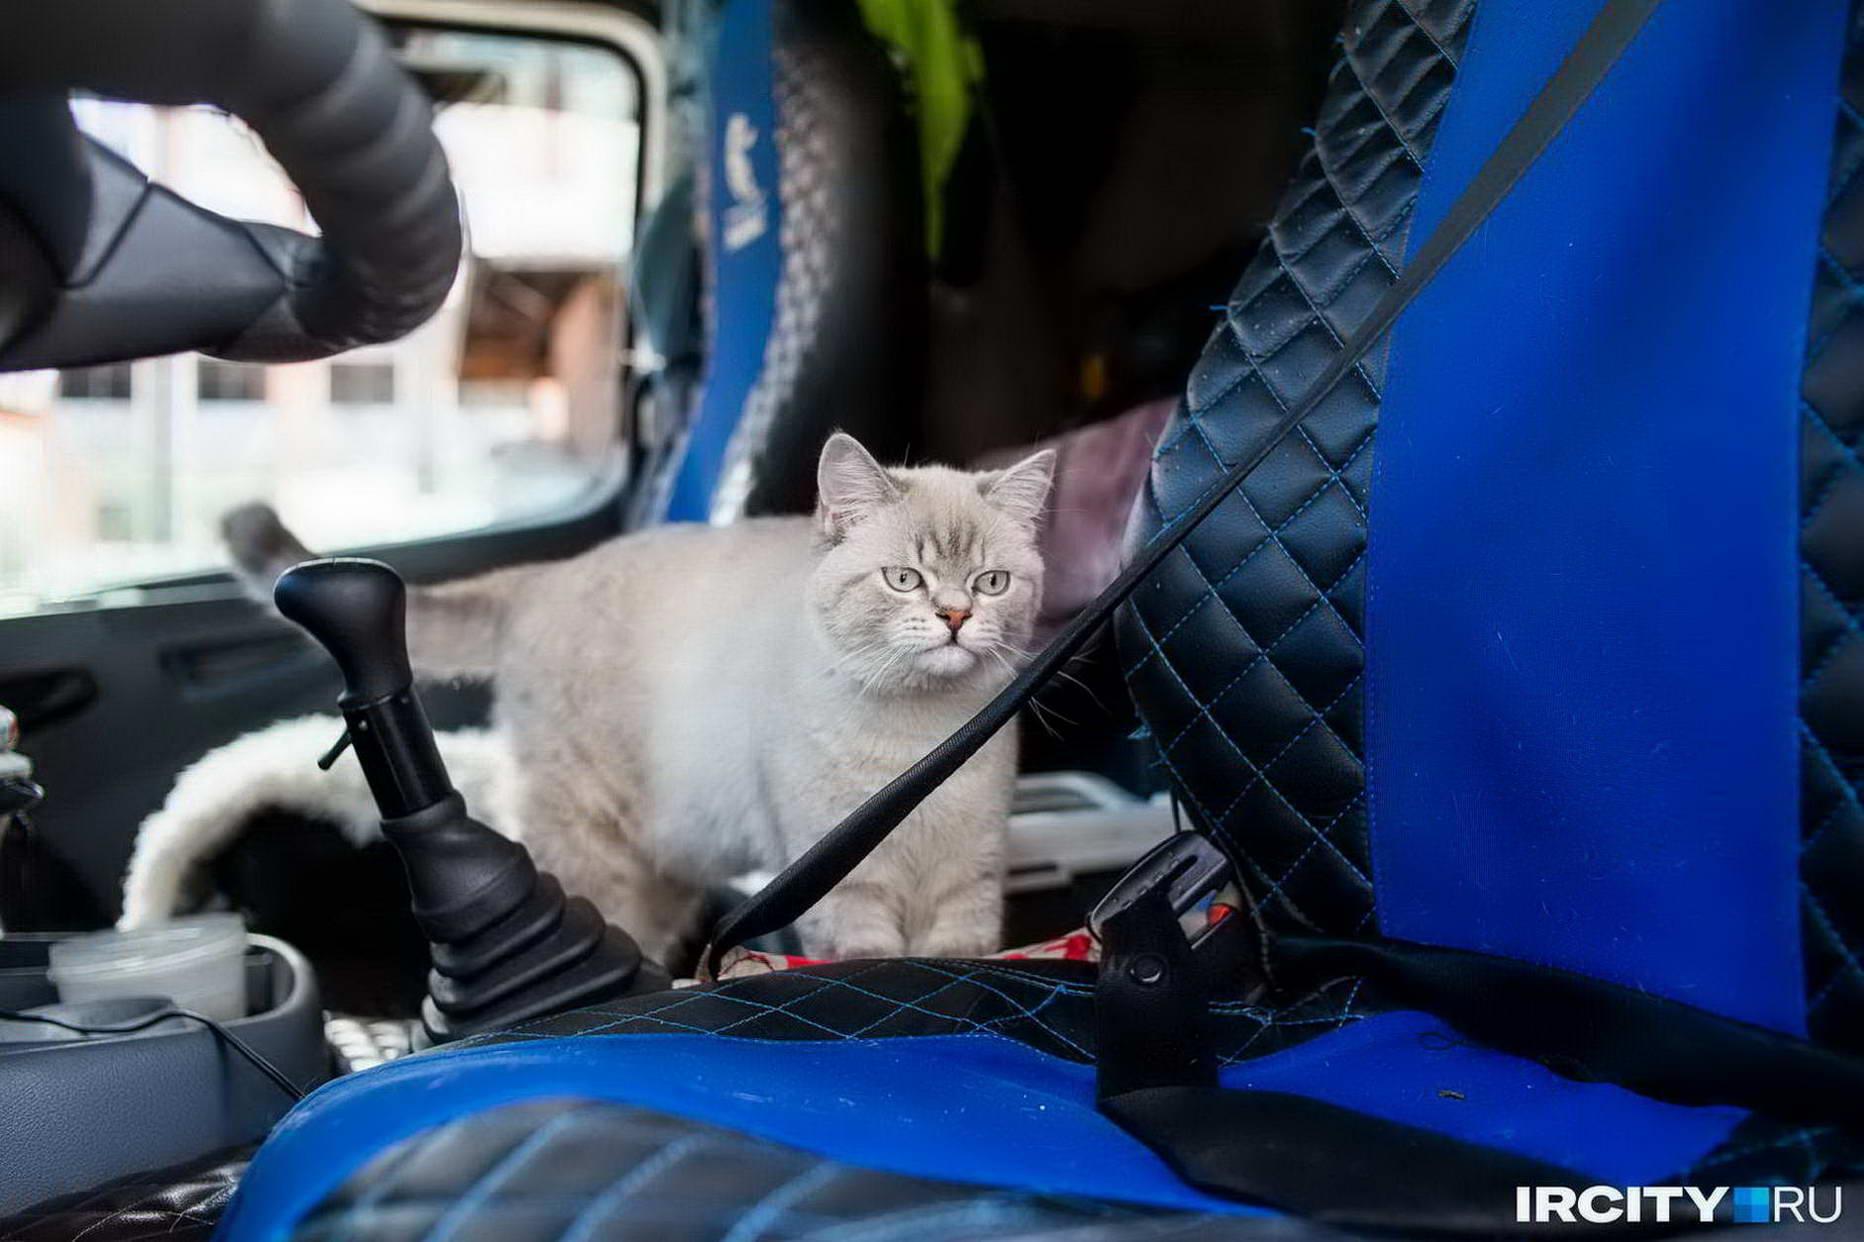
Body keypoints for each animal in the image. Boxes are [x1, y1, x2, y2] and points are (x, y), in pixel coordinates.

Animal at [121, 433, 1053, 964]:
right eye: (905, 580)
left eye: (991, 582)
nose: (956, 618)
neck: (917, 743)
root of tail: (544, 578)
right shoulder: (844, 889)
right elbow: (866, 959)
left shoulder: (968, 885)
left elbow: (964, 960)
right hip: (594, 843)